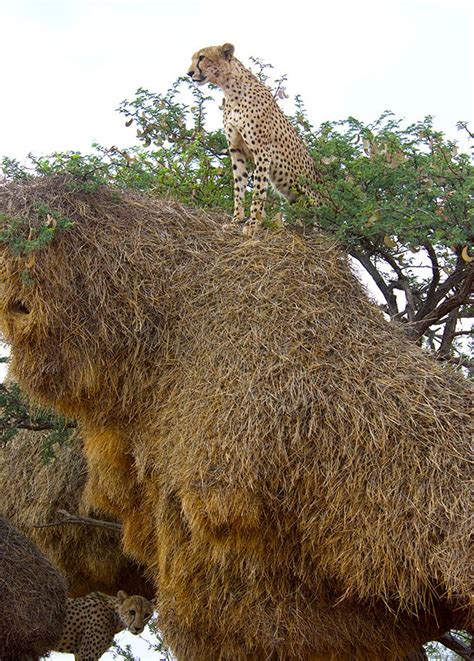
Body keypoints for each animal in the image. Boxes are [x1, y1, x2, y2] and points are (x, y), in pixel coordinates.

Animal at [187, 42, 324, 237]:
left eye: (202, 57)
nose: (189, 73)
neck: (231, 91)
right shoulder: (236, 150)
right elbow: (239, 187)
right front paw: (236, 220)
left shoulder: (262, 151)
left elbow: (258, 190)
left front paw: (253, 223)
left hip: (313, 196)